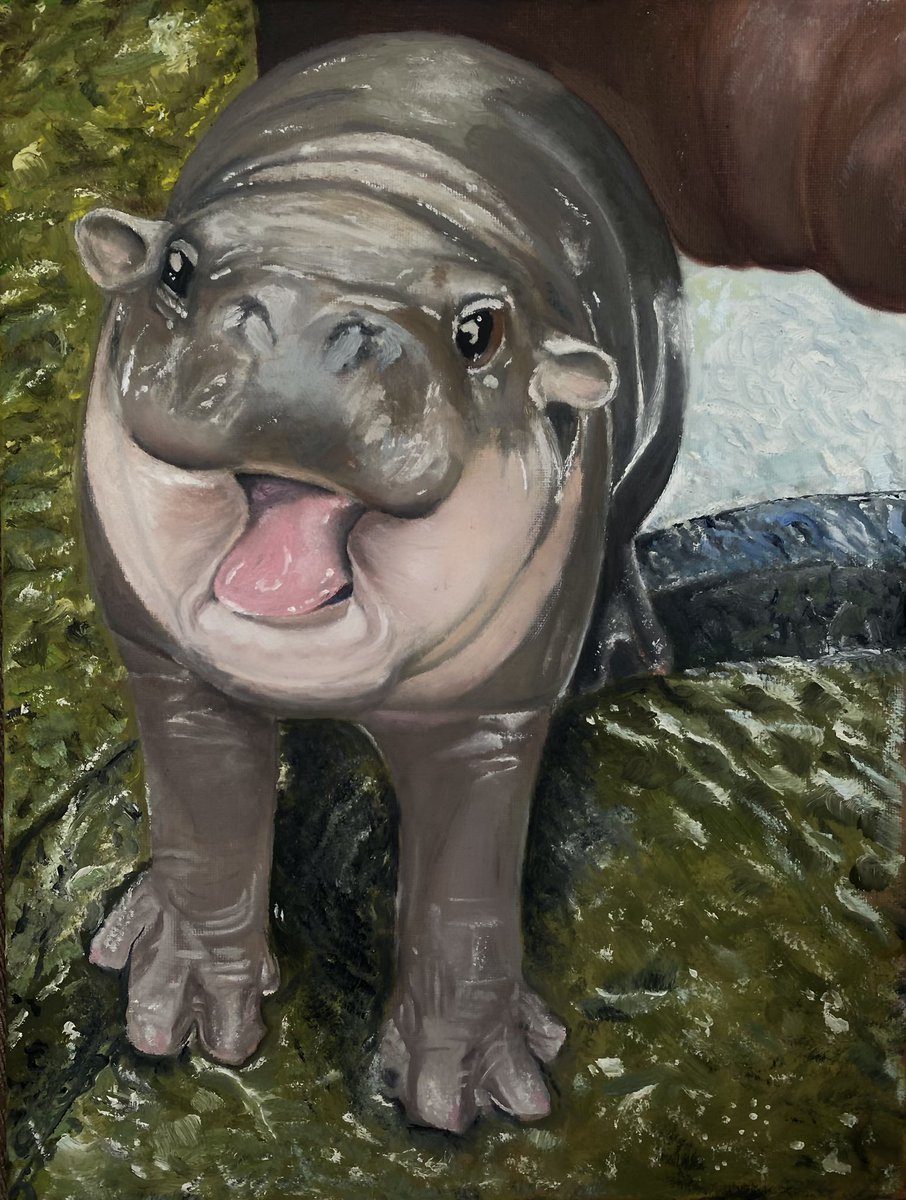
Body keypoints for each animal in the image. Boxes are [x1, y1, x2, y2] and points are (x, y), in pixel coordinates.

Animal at [74, 33, 685, 1133]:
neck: (362, 206)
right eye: (175, 267)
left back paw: (628, 646)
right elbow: (203, 825)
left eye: (481, 329)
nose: (310, 327)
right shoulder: (167, 664)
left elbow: (464, 894)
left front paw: (468, 1090)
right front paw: (177, 1008)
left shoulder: (492, 713)